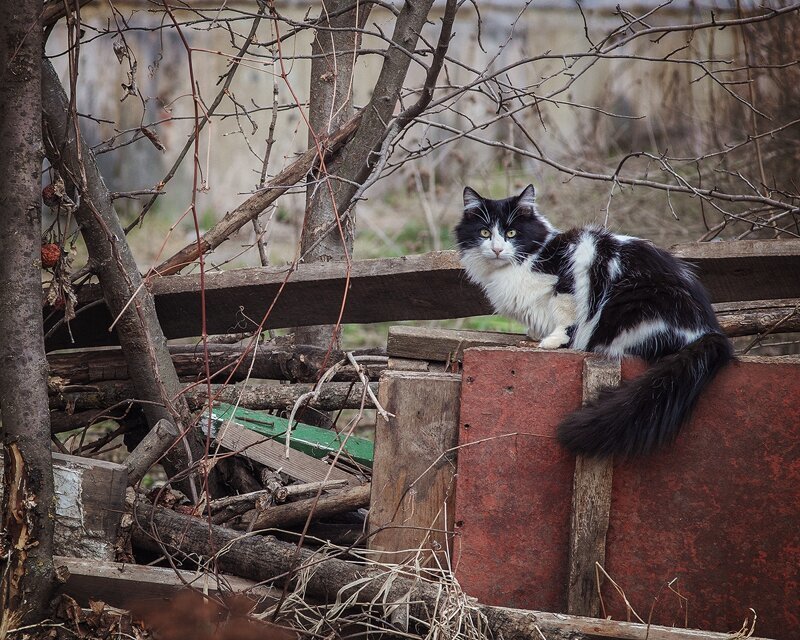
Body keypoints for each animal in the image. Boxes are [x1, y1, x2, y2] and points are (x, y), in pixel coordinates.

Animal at [454, 182, 736, 458]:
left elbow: (564, 313)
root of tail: (709, 332)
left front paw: (552, 341)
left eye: (512, 233)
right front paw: (535, 335)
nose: (497, 249)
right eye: (484, 233)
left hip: (630, 304)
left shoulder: (566, 279)